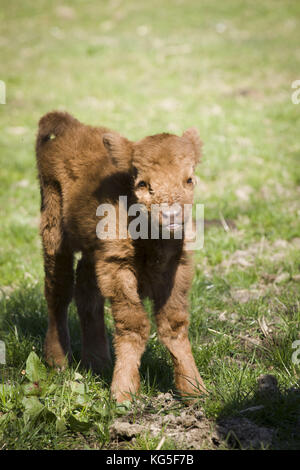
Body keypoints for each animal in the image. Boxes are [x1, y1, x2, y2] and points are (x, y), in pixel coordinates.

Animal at [35, 112, 206, 402]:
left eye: (189, 179)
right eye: (142, 183)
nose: (171, 215)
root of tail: (72, 127)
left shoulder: (177, 266)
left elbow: (174, 323)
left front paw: (193, 387)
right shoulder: (117, 266)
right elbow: (133, 324)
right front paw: (123, 390)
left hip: (93, 251)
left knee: (86, 292)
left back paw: (97, 361)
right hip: (54, 230)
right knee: (58, 290)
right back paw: (57, 359)